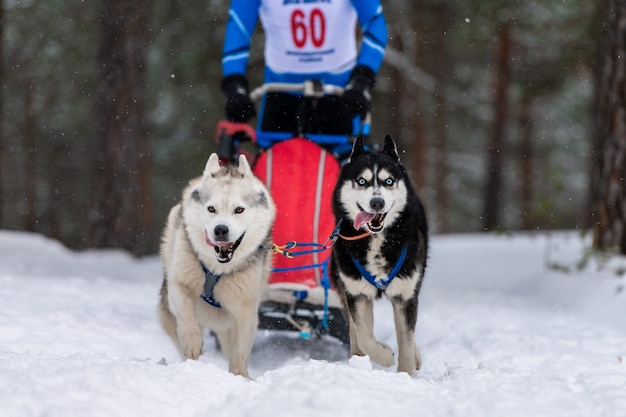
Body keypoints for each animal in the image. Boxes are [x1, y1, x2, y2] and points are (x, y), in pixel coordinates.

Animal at [157, 153, 274, 376]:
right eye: (211, 209)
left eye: (239, 210)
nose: (220, 230)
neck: (217, 269)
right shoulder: (179, 285)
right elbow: (185, 312)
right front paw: (193, 343)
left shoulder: (245, 310)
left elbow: (239, 353)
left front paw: (240, 377)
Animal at [330, 136, 426, 374]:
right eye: (361, 181)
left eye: (388, 181)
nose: (377, 202)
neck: (376, 239)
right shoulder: (356, 293)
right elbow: (363, 333)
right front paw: (384, 356)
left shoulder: (406, 295)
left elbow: (406, 340)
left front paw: (406, 374)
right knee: (356, 330)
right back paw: (357, 358)